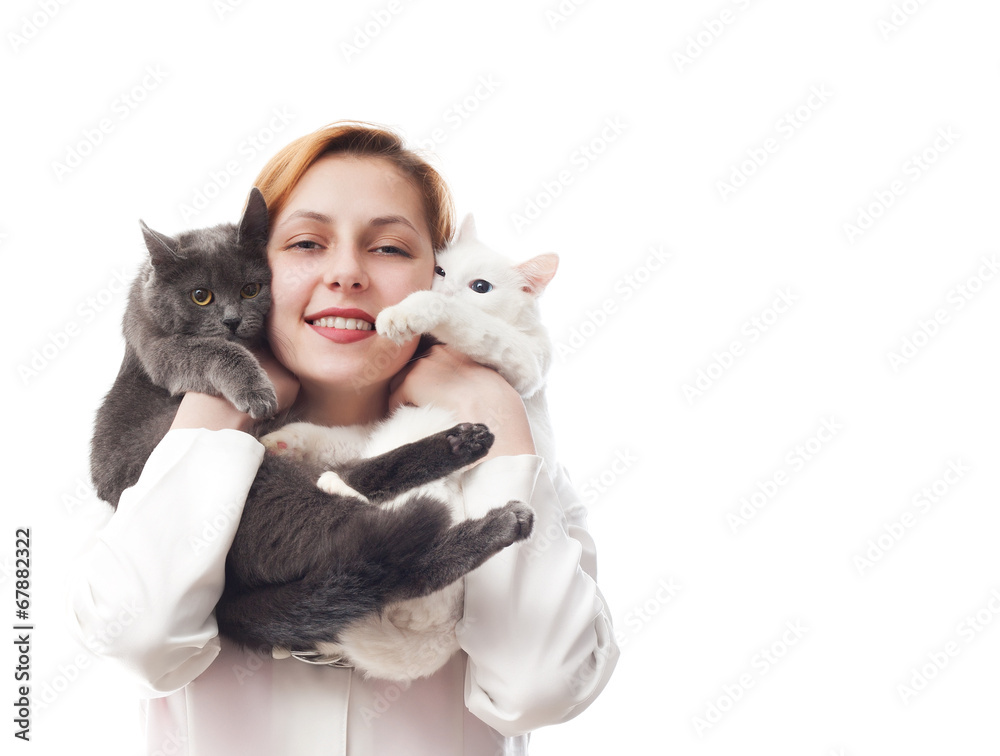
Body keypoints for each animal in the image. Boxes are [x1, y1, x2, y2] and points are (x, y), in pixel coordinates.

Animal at [262, 216, 560, 684]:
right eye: (439, 270)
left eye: (480, 287)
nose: (443, 286)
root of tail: (445, 636)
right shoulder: (379, 420)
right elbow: (344, 435)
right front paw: (286, 437)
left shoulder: (523, 363)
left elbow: (473, 324)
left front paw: (408, 312)